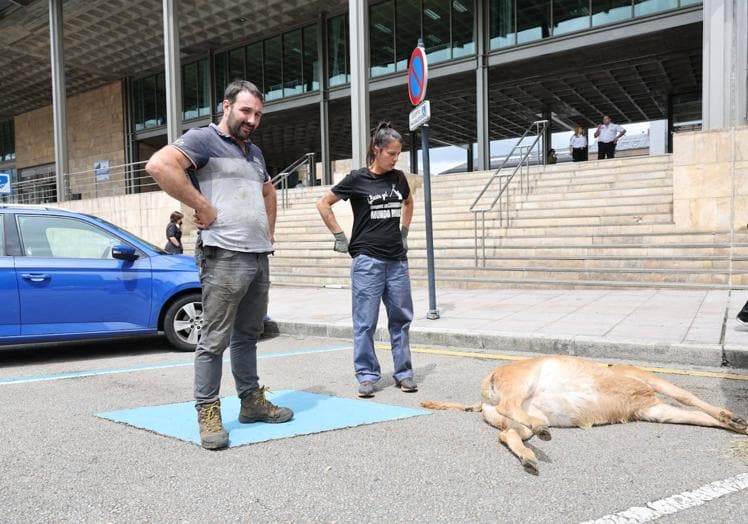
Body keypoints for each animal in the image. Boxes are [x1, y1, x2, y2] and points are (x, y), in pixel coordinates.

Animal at [424, 356, 744, 474]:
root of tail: (483, 395)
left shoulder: (653, 409)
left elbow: (696, 415)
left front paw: (736, 424)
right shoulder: (647, 379)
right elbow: (687, 396)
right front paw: (732, 417)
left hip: (517, 419)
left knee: (508, 434)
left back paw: (530, 456)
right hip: (523, 380)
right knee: (509, 406)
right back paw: (540, 434)